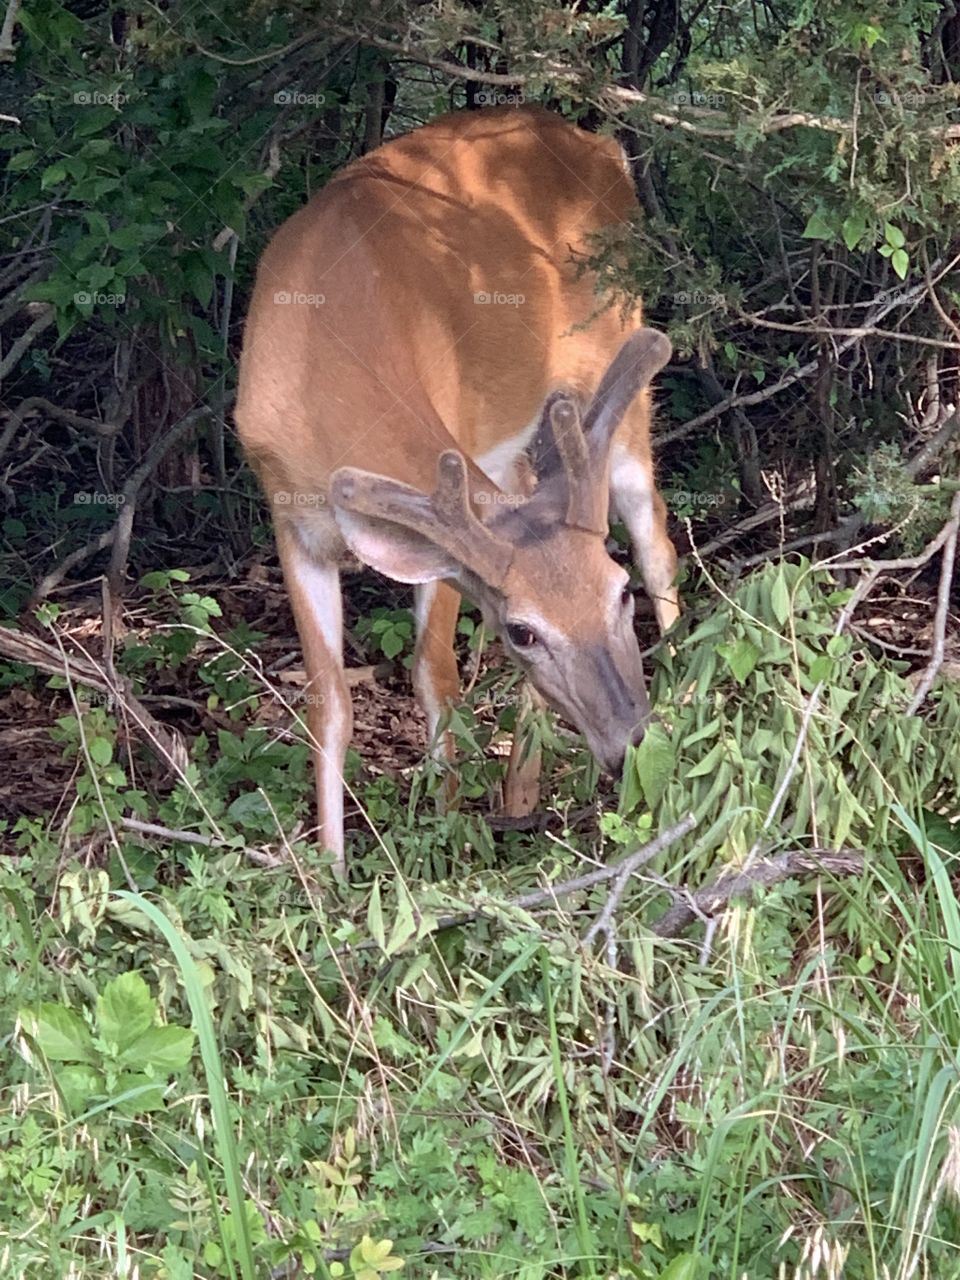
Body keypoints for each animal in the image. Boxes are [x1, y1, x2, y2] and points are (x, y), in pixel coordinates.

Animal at [235, 105, 680, 874]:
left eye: (617, 595)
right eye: (522, 631)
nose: (632, 742)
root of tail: (600, 142)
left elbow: (434, 674)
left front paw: (443, 843)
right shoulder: (290, 517)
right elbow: (328, 702)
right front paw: (329, 875)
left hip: (614, 382)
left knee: (658, 541)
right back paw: (521, 794)